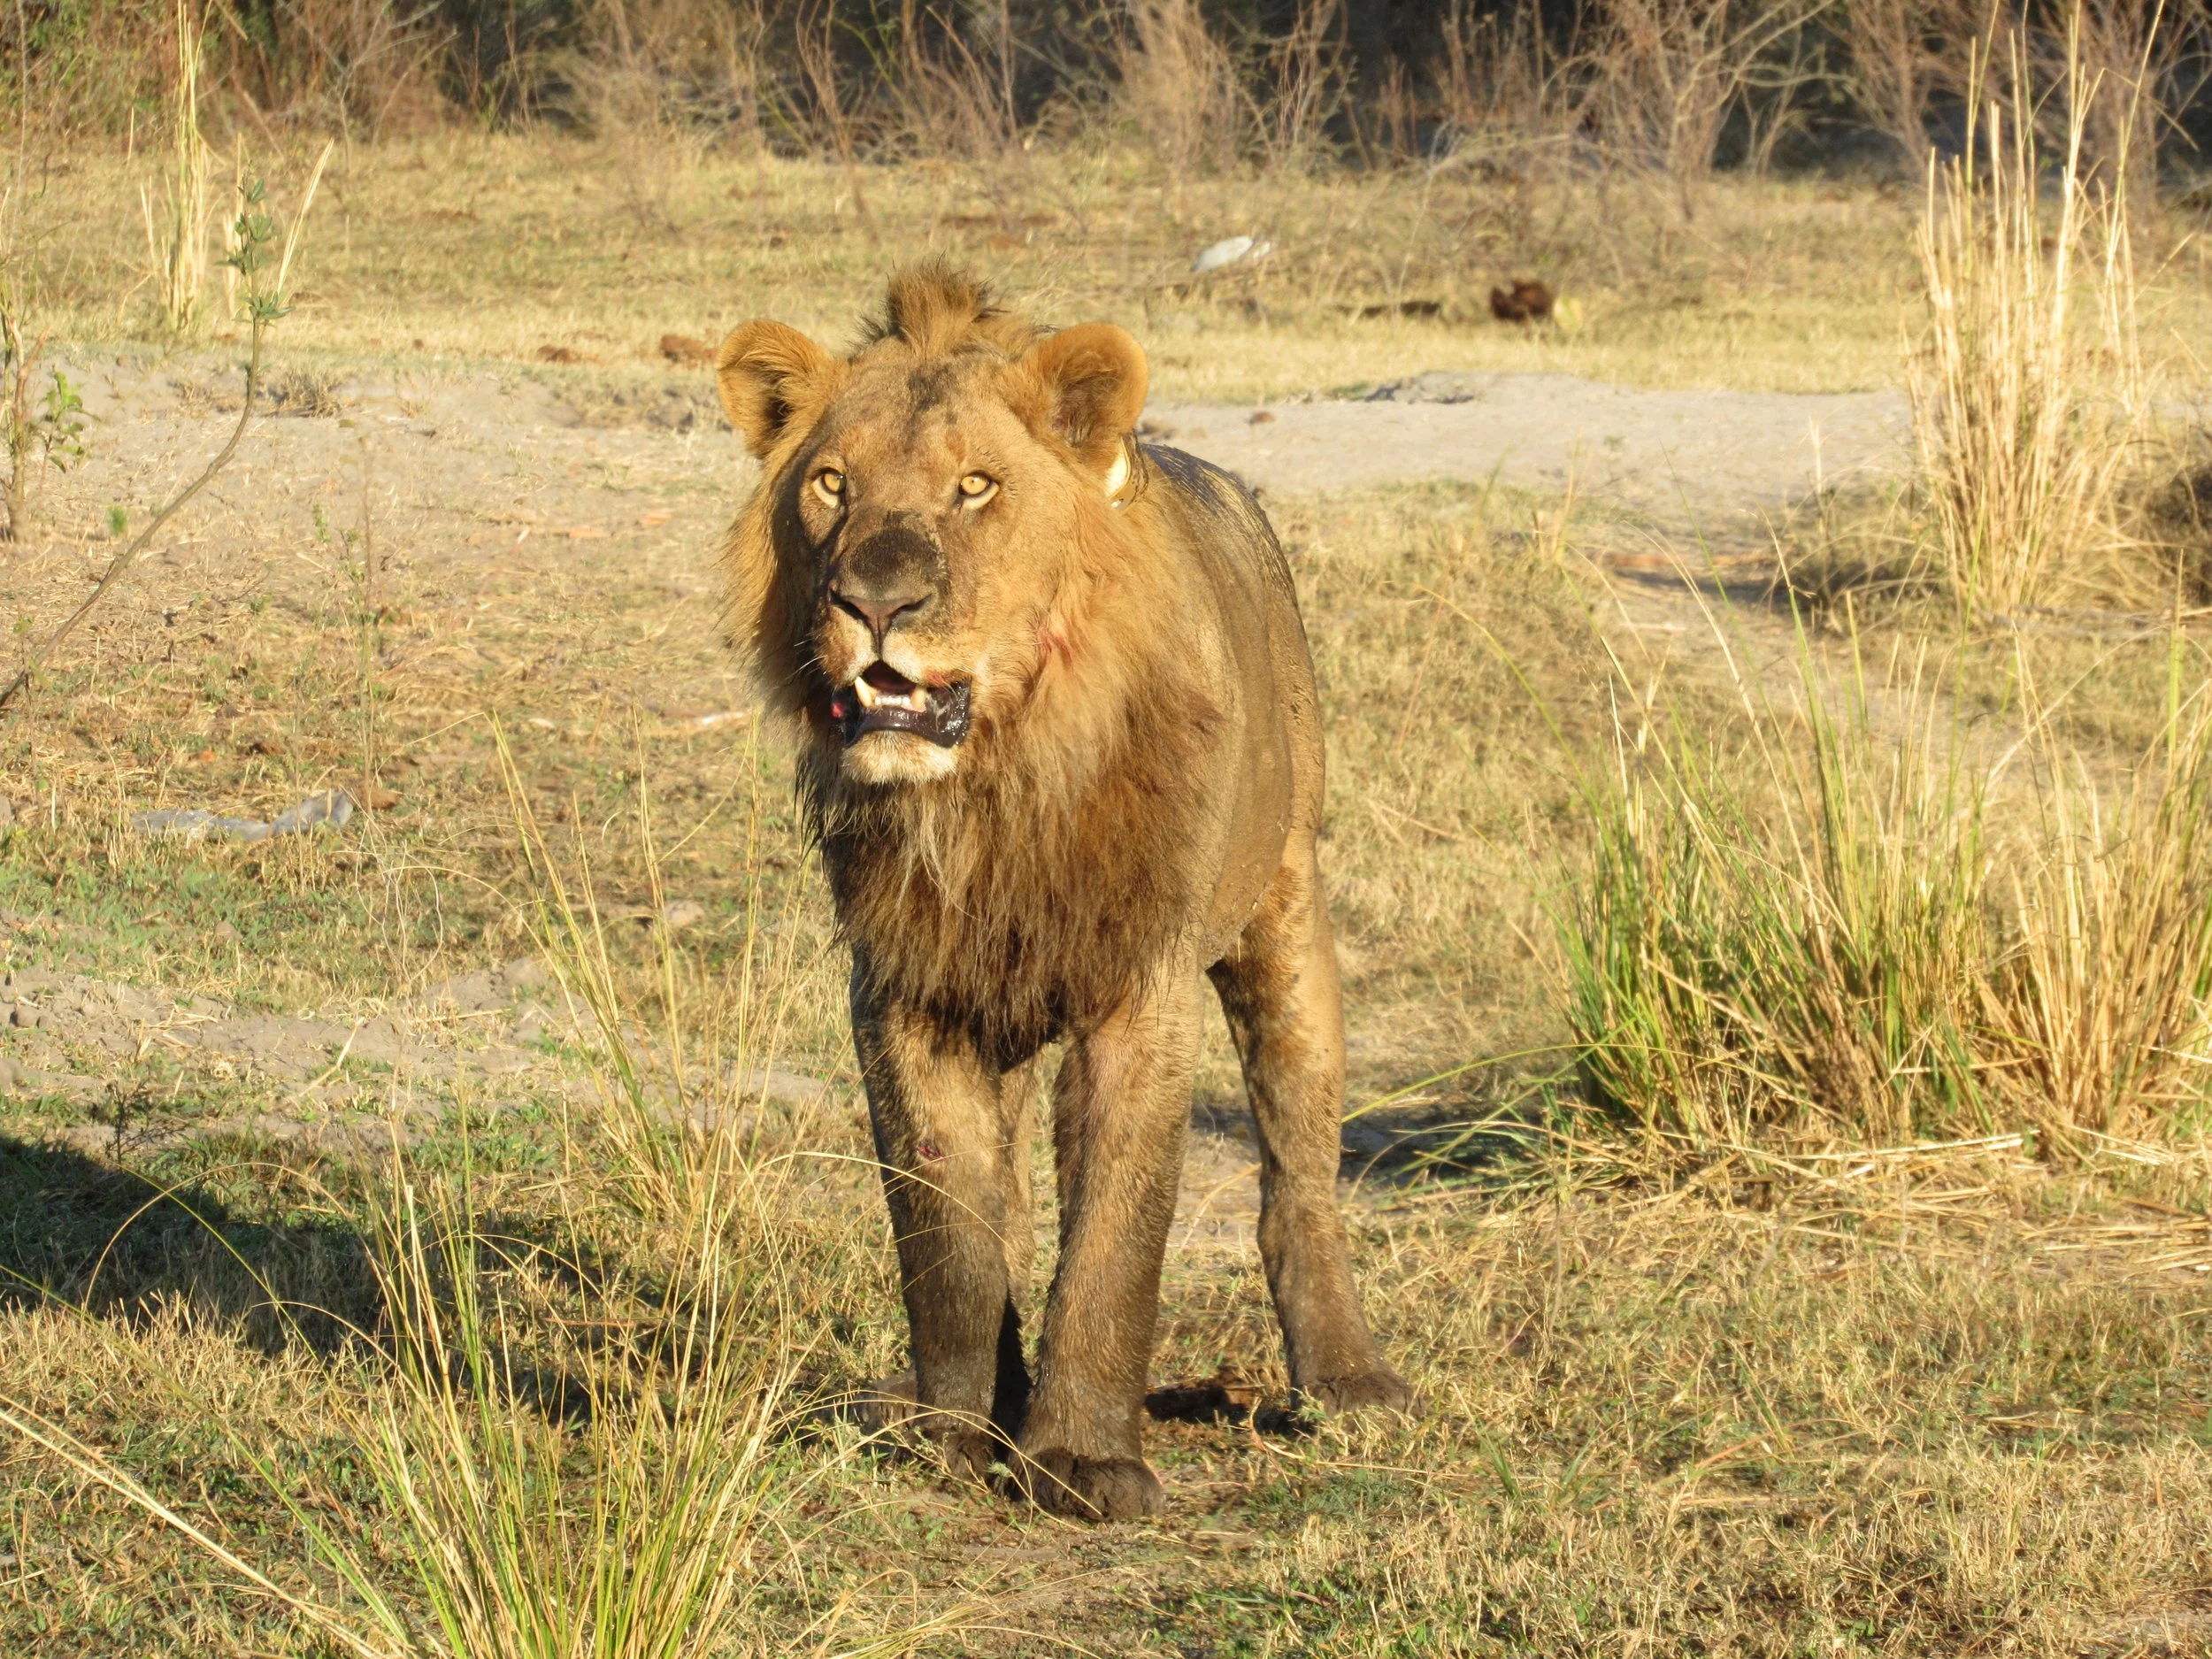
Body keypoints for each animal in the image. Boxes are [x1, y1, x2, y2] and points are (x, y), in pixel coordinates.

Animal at [714, 266, 1412, 1521]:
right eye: (832, 485)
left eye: (975, 487)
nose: (873, 603)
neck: (997, 788)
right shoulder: (905, 991)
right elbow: (947, 1229)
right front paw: (946, 1438)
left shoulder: (1140, 988)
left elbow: (1116, 1232)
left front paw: (1083, 1462)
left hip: (1287, 909)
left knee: (1297, 1172)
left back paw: (1346, 1380)